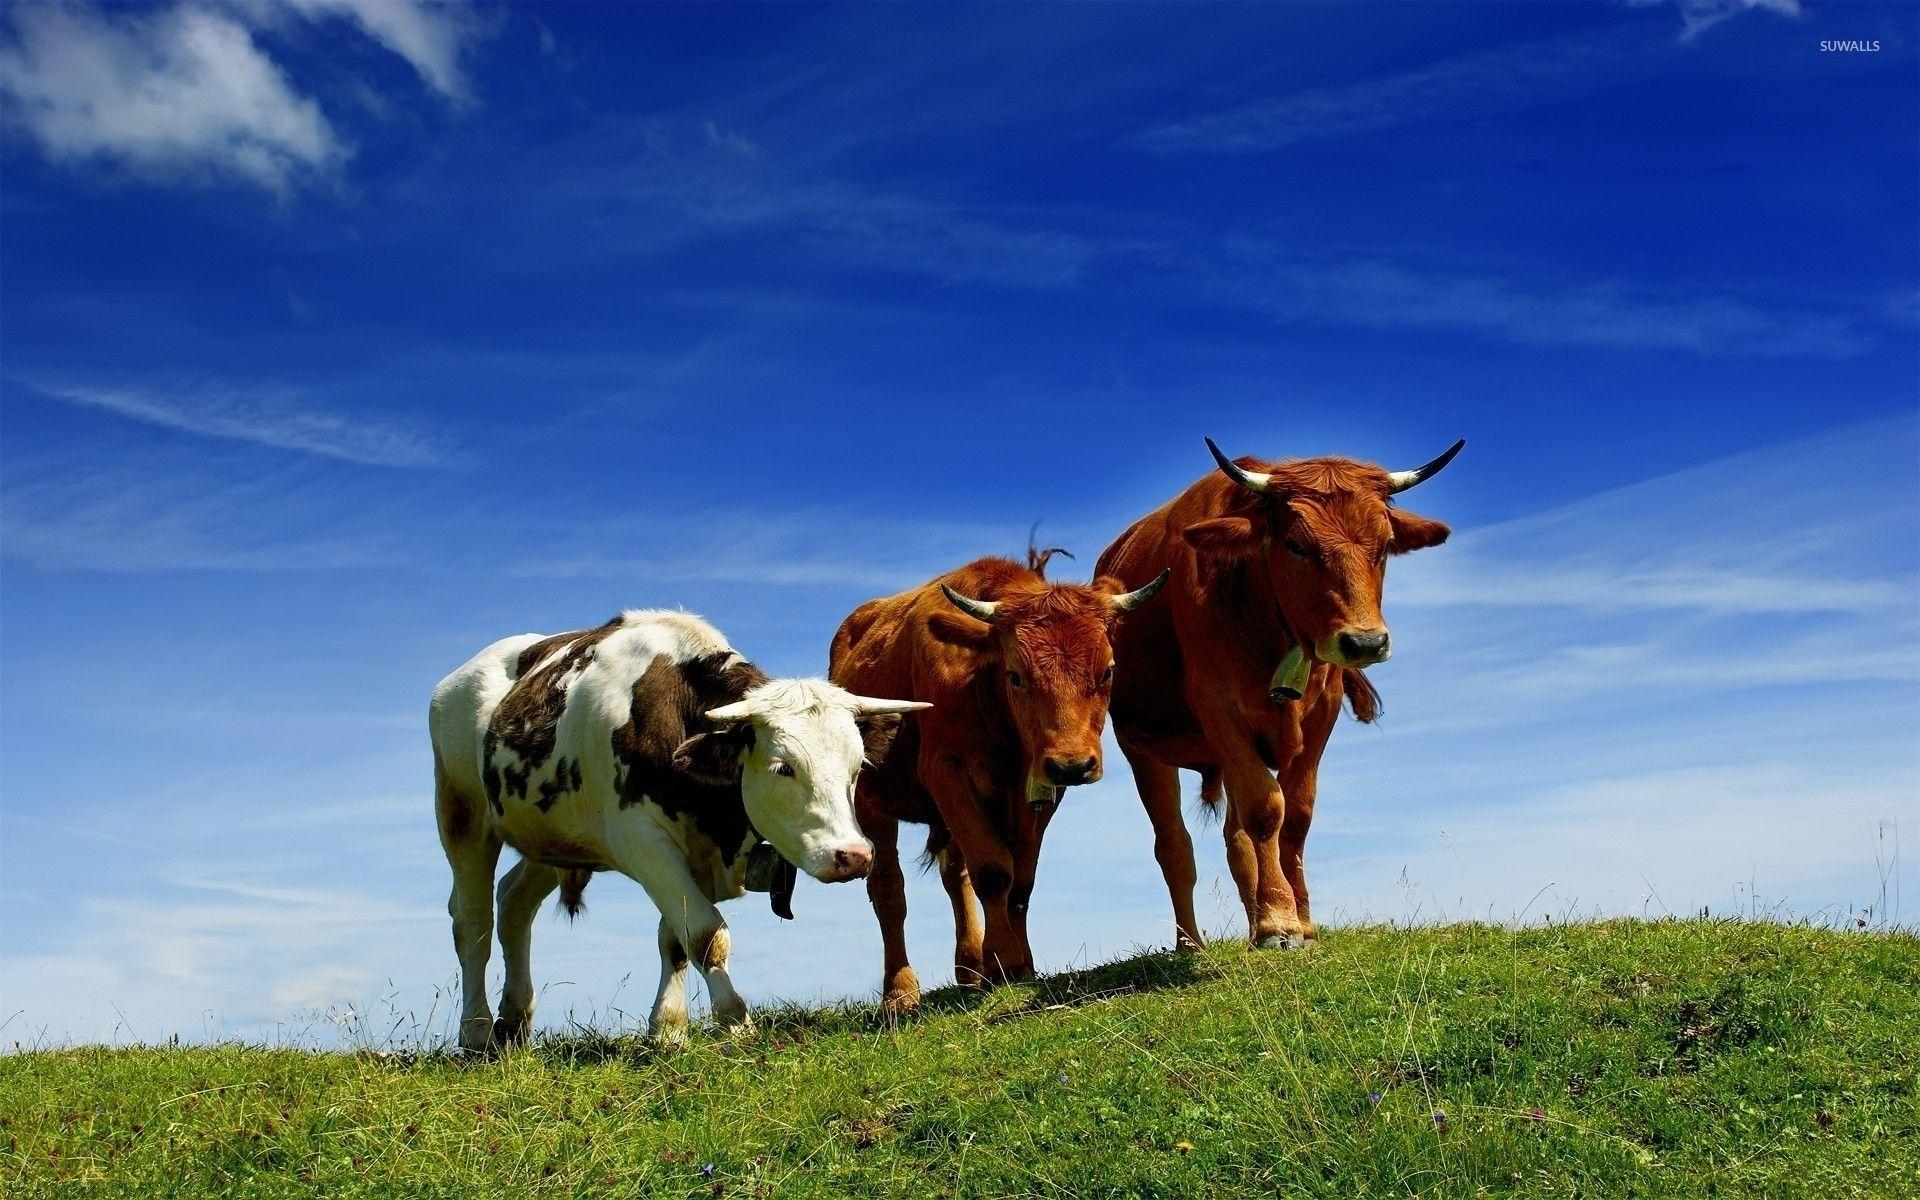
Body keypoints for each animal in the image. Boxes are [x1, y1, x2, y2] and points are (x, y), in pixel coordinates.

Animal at [429, 609, 929, 1050]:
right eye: (783, 767)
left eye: (857, 766)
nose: (854, 855)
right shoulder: (643, 843)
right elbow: (706, 934)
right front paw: (734, 1020)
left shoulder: (692, 854)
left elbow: (674, 939)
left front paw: (668, 1028)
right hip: (462, 813)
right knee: (472, 922)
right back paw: (476, 1030)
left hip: (551, 838)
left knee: (513, 904)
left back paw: (514, 1021)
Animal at [829, 550, 1168, 1013]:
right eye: (1015, 675)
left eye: (1108, 672)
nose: (1073, 764)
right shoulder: (946, 770)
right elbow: (993, 870)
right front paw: (1003, 960)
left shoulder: (1039, 790)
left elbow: (1020, 880)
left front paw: (1016, 964)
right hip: (871, 802)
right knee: (888, 891)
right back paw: (900, 991)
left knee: (955, 877)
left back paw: (971, 966)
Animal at [1095, 439, 1463, 951]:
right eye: (1297, 545)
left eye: (1386, 546)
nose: (1365, 642)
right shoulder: (1219, 707)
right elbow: (1266, 809)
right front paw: (1279, 923)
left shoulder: (1321, 714)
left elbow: (1296, 816)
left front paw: (1301, 922)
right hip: (1143, 748)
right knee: (1174, 845)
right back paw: (1191, 942)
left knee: (1236, 840)